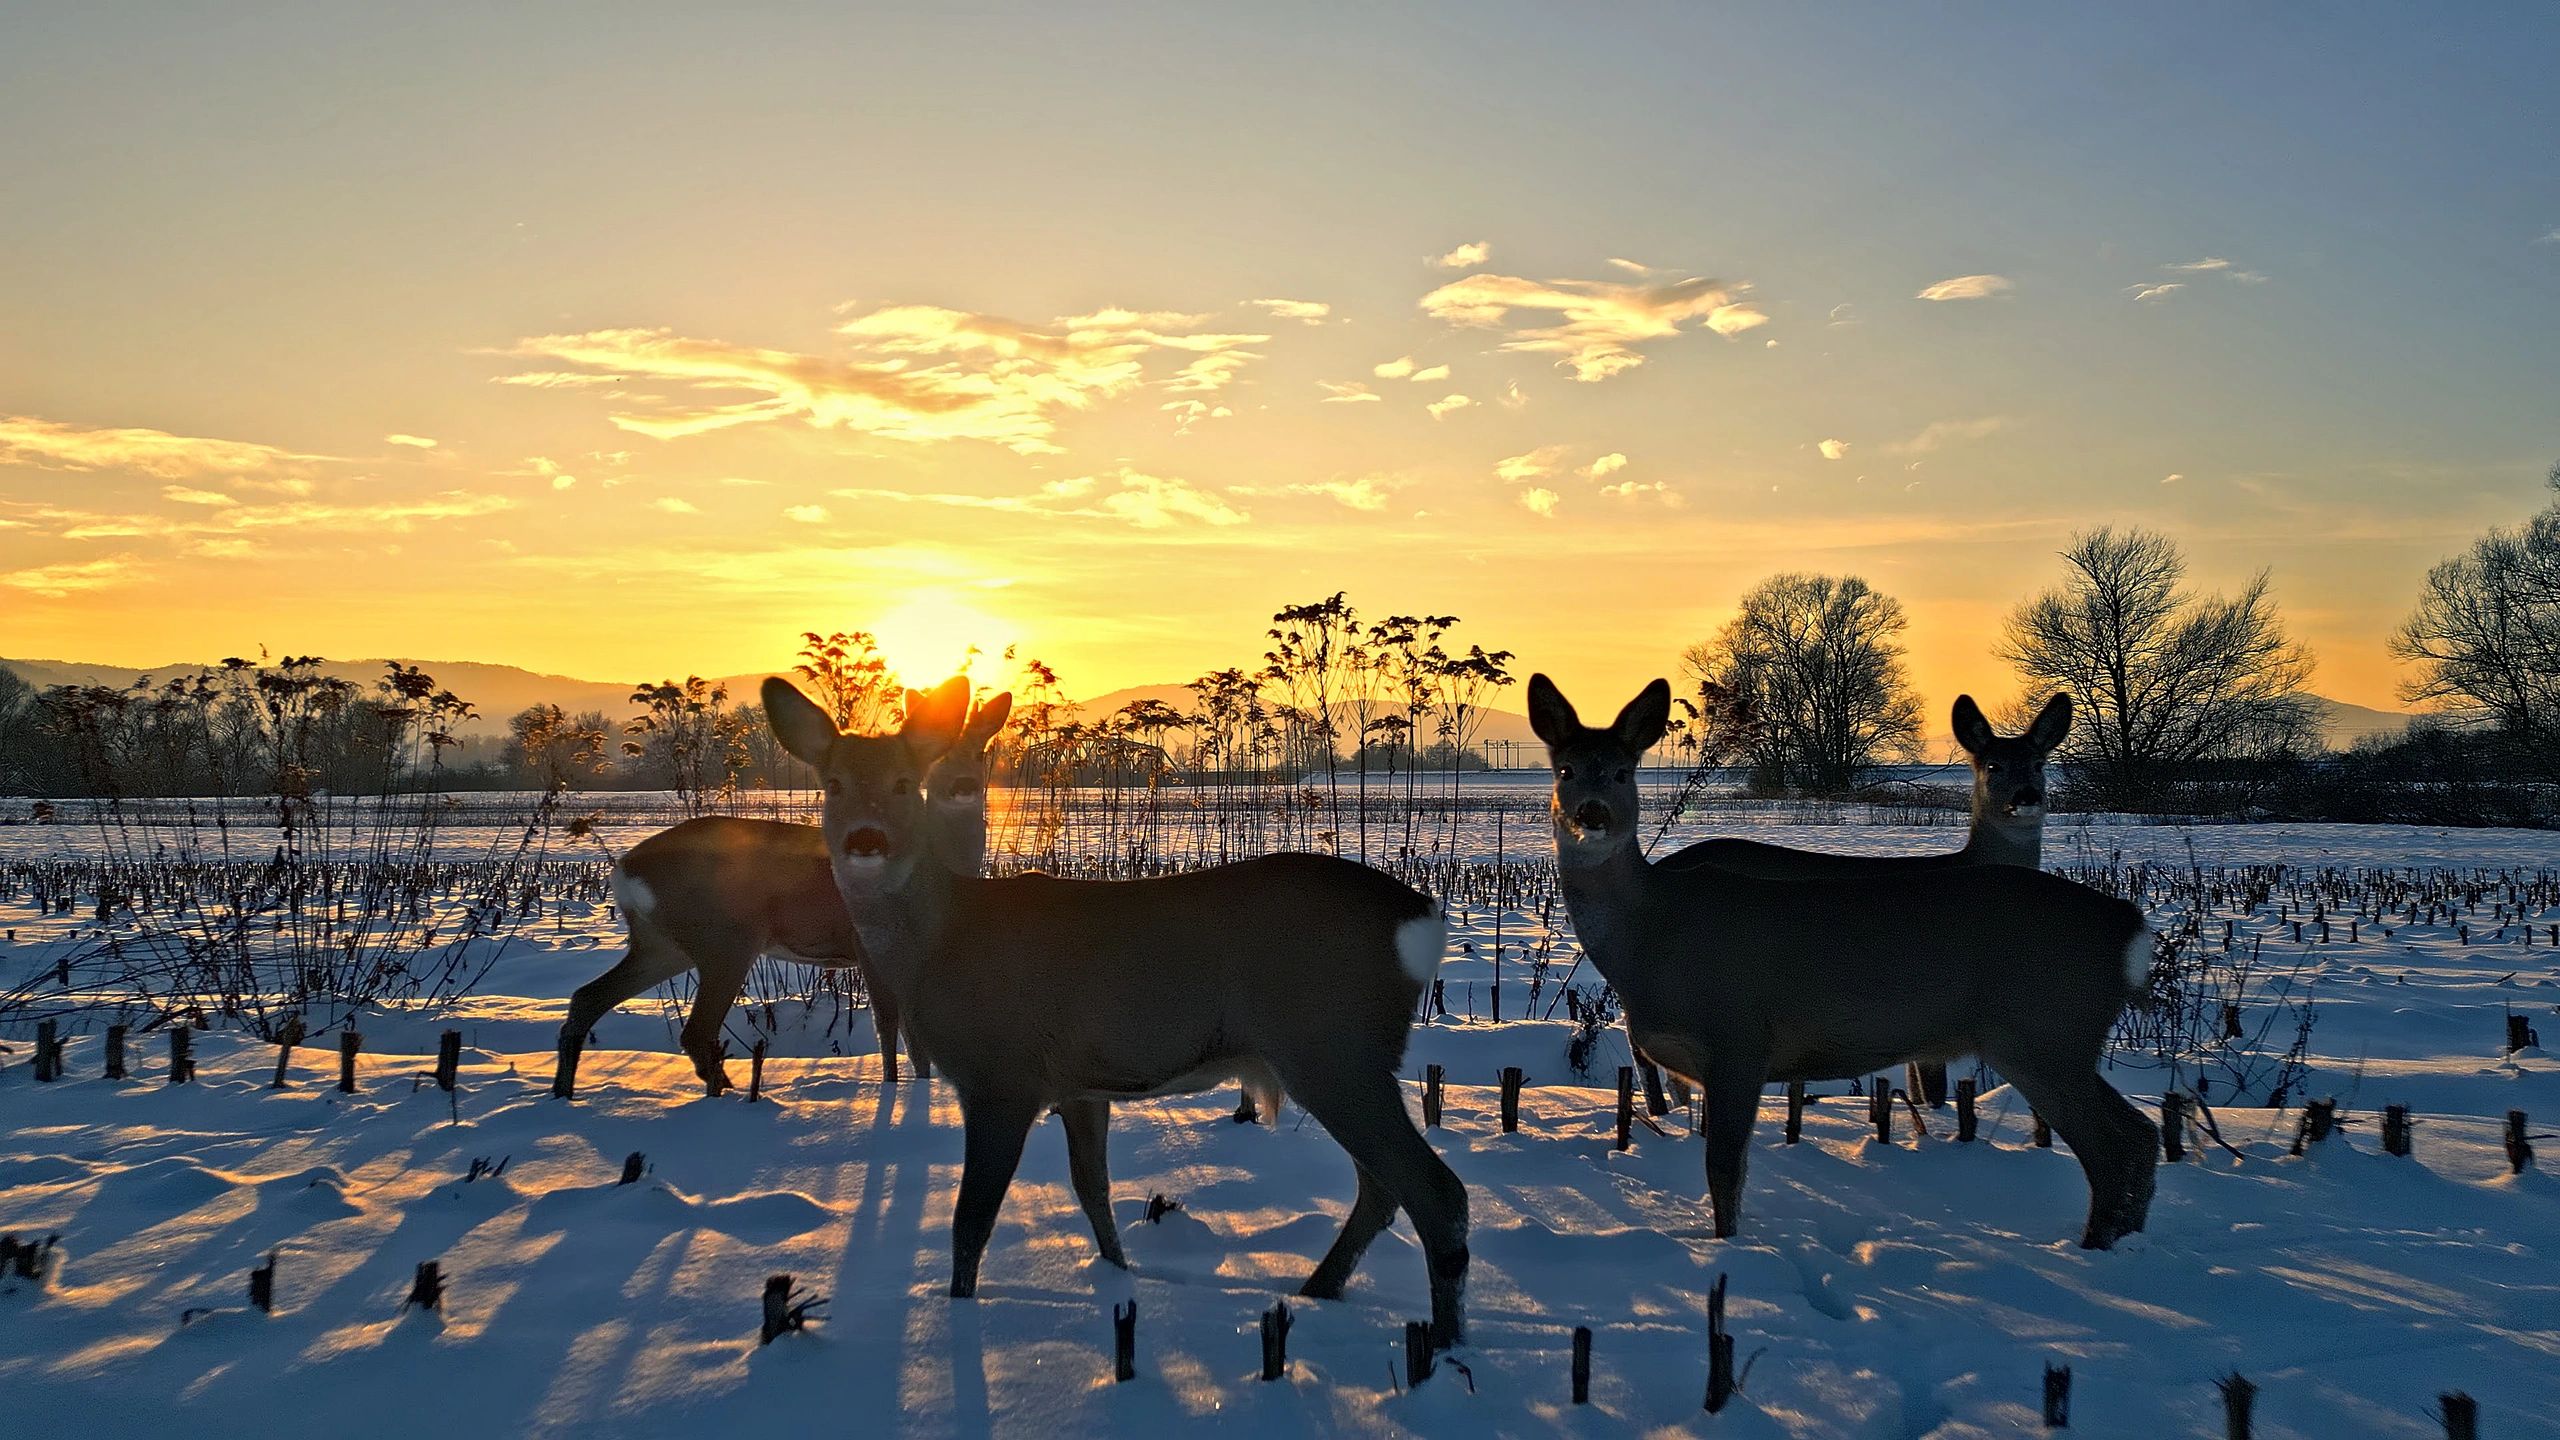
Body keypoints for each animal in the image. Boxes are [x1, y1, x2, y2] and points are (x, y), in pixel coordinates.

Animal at [549, 692, 1007, 1100]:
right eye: (938, 760)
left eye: (981, 751)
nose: (963, 785)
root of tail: (625, 868)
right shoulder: (865, 945)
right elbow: (890, 1024)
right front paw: (897, 1090)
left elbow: (915, 1036)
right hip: (726, 939)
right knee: (695, 1031)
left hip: (661, 944)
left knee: (587, 998)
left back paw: (563, 1094)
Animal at [764, 674, 1472, 1347]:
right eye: (832, 784)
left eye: (905, 783)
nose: (866, 840)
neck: (943, 940)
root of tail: (1419, 917)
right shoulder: (1080, 1086)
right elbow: (1092, 1192)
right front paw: (1119, 1278)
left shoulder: (1002, 1073)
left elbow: (971, 1221)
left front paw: (961, 1311)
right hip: (1341, 1056)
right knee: (1382, 1187)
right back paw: (1320, 1292)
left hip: (1331, 1045)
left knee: (1434, 1190)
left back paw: (1442, 1340)